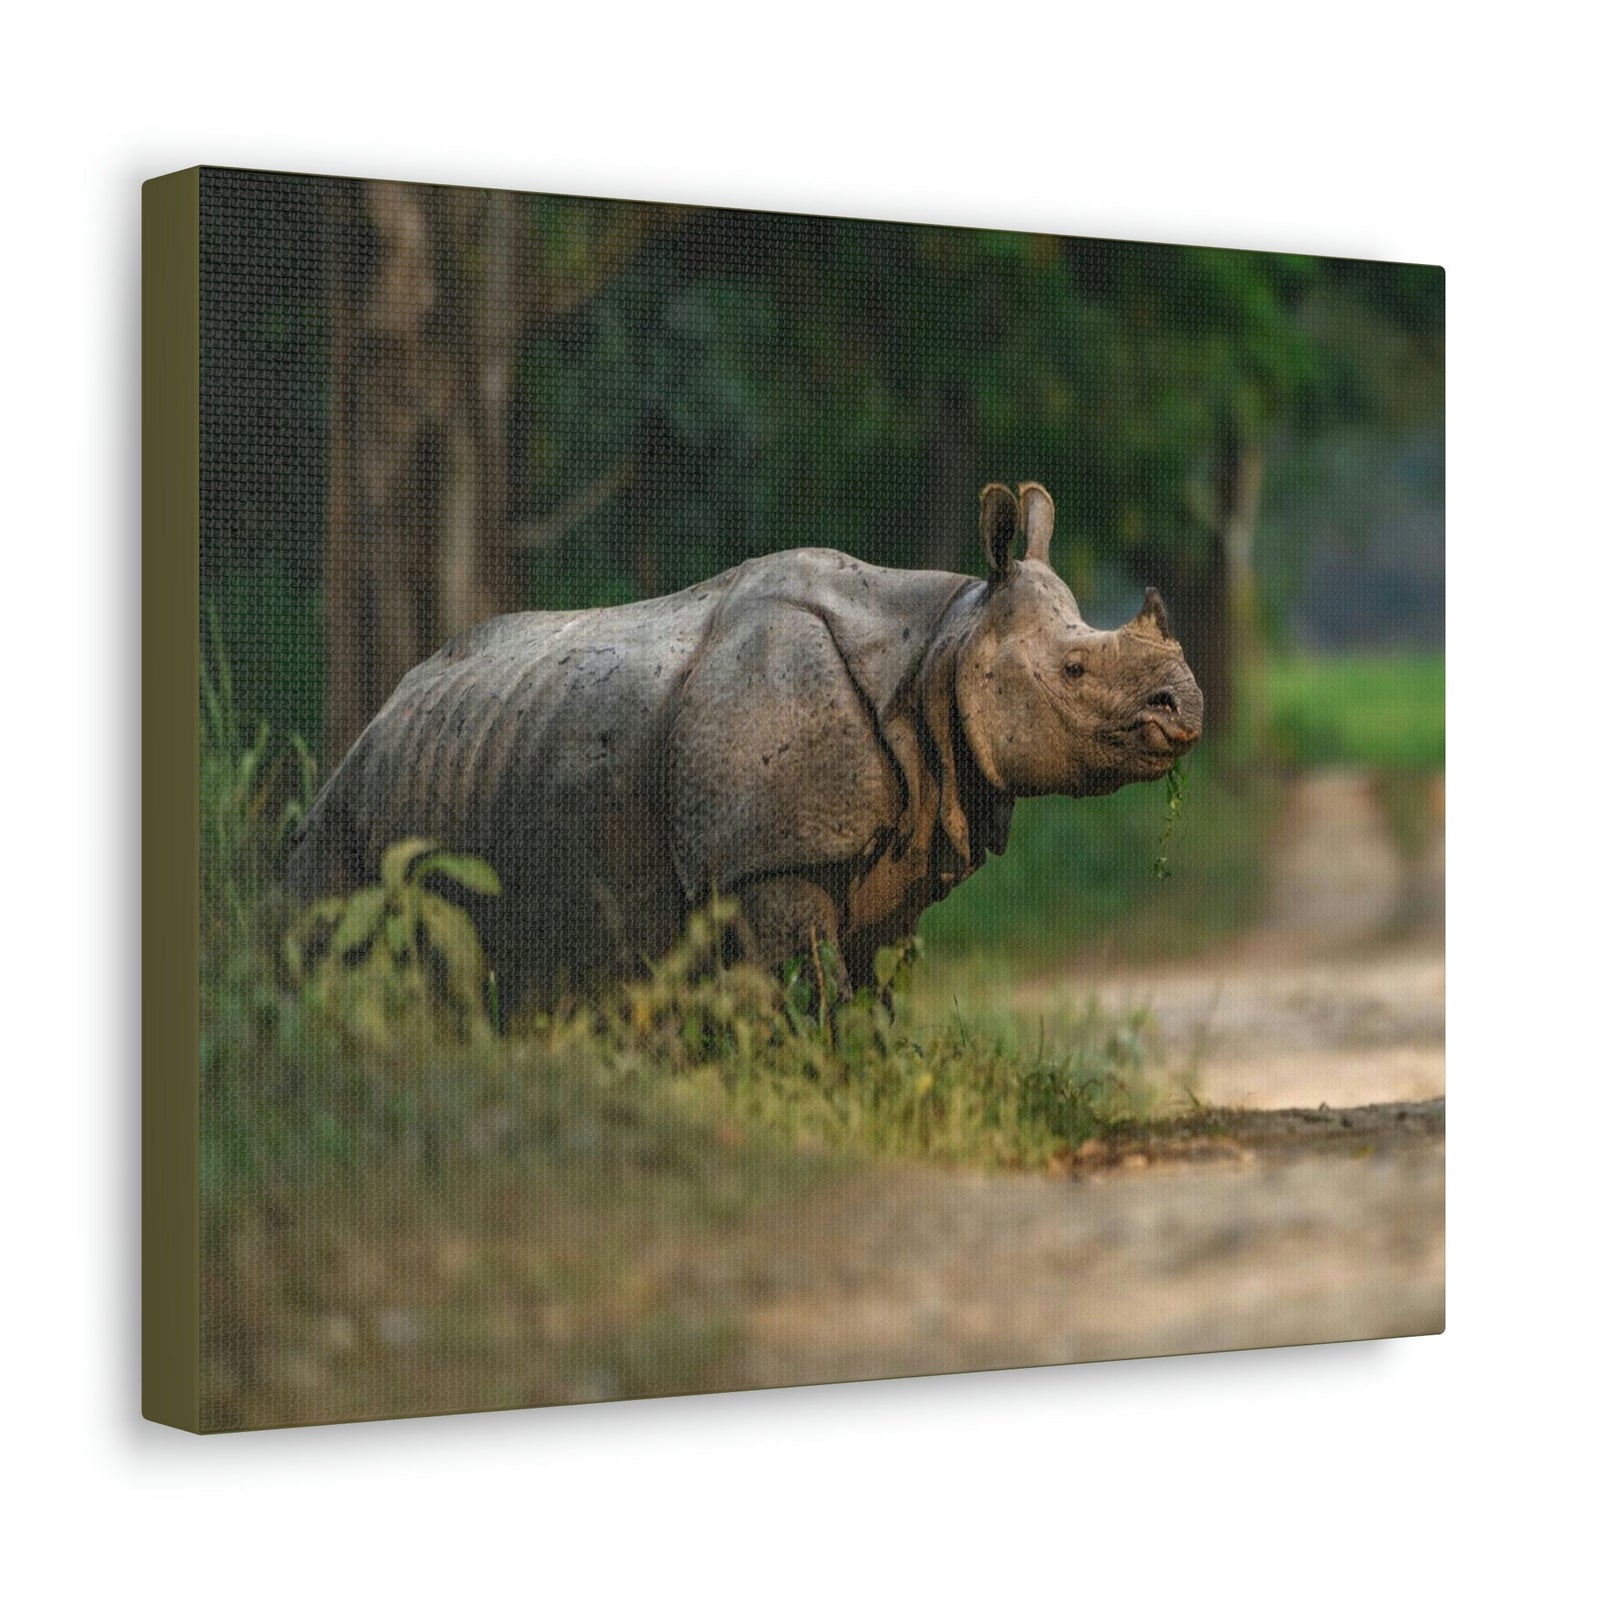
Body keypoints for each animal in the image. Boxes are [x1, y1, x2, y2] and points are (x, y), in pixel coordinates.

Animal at [287, 482, 1202, 1003]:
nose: (1187, 708)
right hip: (347, 818)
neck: (945, 642)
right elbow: (813, 994)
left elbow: (872, 996)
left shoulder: (894, 853)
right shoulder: (765, 857)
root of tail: (375, 720)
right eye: (1075, 670)